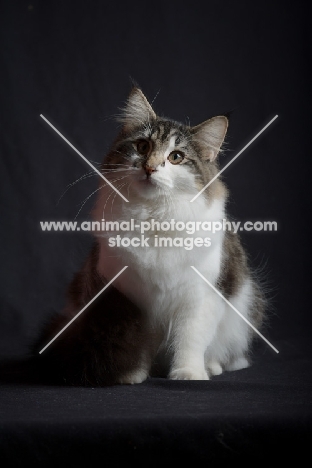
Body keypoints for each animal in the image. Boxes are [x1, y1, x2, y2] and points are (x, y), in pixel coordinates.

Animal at [34, 87, 264, 384]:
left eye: (176, 157)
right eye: (143, 147)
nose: (150, 167)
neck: (154, 217)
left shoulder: (200, 297)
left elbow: (190, 340)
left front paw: (188, 373)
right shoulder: (133, 300)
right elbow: (141, 345)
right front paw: (133, 374)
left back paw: (211, 367)